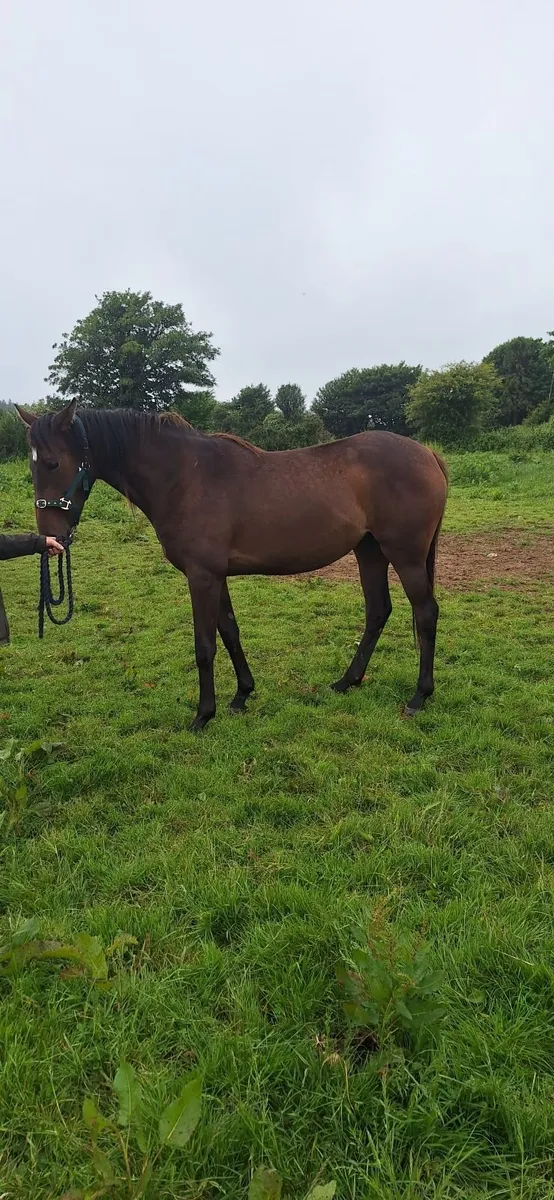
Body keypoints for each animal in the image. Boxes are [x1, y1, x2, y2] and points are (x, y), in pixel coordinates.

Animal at [16, 401, 448, 731]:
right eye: (32, 467)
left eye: (52, 463)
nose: (51, 538)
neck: (184, 477)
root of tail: (427, 453)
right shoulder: (216, 576)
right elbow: (230, 632)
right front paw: (242, 695)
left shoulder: (202, 577)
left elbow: (205, 645)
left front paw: (202, 716)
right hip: (369, 551)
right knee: (378, 611)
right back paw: (347, 681)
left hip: (405, 555)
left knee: (425, 613)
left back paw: (419, 696)